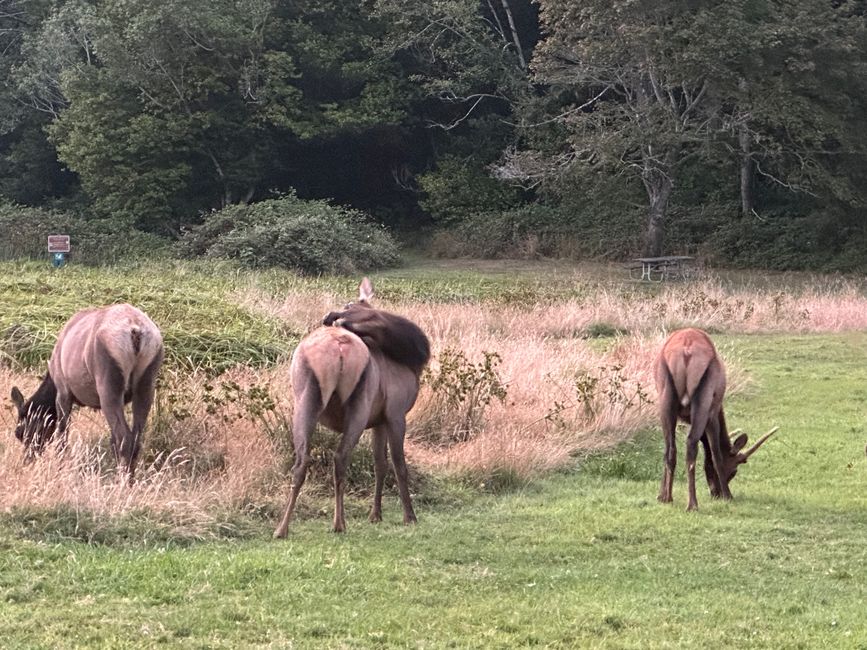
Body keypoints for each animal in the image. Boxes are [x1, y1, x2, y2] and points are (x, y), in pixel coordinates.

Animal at [9, 302, 163, 478]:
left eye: (19, 432)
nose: (27, 460)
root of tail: (135, 330)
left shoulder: (63, 391)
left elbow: (61, 434)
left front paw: (60, 467)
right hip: (147, 379)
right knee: (135, 438)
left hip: (108, 381)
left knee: (124, 438)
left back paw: (122, 481)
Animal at [274, 276, 430, 536]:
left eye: (350, 305)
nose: (332, 316)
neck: (413, 361)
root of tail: (338, 347)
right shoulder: (396, 413)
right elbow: (399, 464)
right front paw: (409, 516)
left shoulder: (379, 420)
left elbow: (380, 464)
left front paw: (375, 515)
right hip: (360, 405)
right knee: (340, 457)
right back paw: (339, 523)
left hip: (305, 398)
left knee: (301, 460)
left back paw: (281, 529)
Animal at [656, 326, 776, 508]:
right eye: (734, 470)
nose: (716, 493)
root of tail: (686, 350)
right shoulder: (712, 413)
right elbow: (715, 454)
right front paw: (728, 495)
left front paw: (660, 495)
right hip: (704, 397)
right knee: (691, 443)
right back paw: (692, 504)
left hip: (665, 396)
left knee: (670, 448)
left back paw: (668, 497)